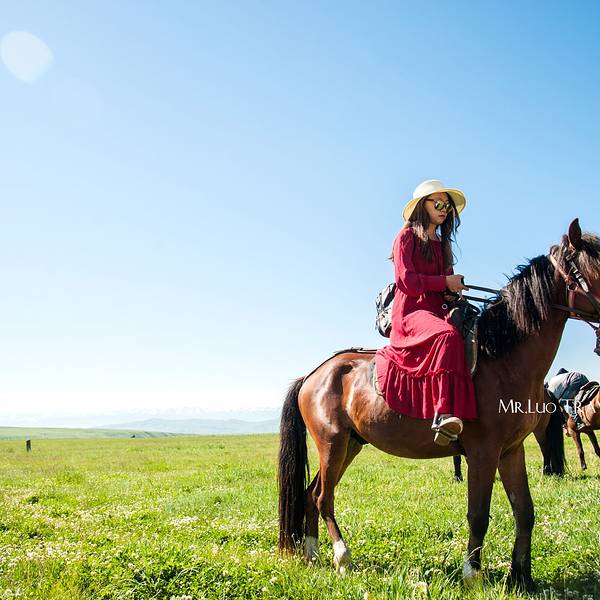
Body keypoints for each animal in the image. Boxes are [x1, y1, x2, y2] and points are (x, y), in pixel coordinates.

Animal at [277, 219, 600, 591]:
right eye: (598, 266)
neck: (501, 358)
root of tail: (313, 375)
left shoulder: (511, 451)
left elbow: (525, 512)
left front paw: (521, 577)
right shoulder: (483, 452)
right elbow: (479, 514)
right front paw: (472, 574)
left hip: (351, 445)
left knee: (310, 493)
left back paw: (313, 554)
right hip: (332, 443)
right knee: (322, 497)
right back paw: (342, 557)